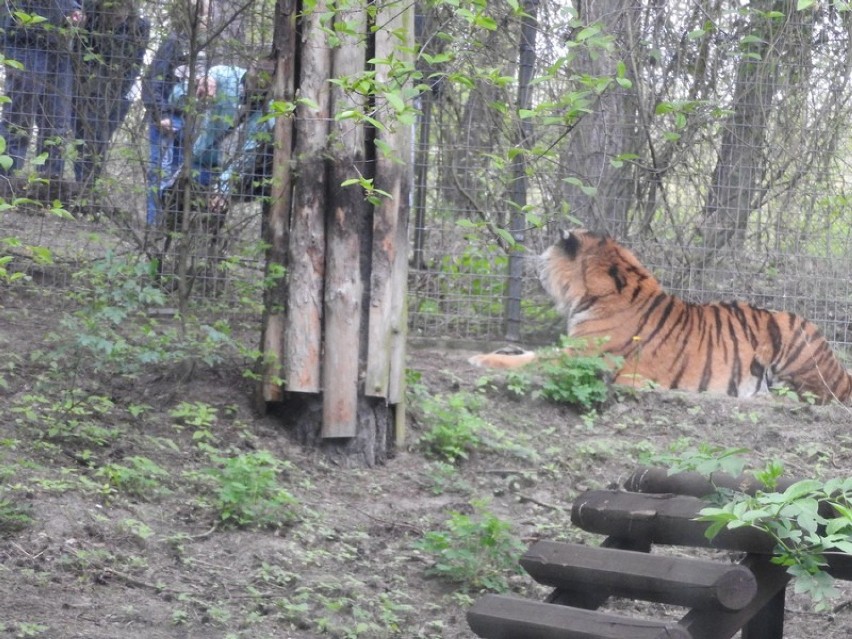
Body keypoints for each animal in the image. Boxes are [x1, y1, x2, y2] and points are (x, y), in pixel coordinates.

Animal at [472, 228, 852, 402]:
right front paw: (501, 350)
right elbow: (529, 352)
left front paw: (480, 358)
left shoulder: (581, 358)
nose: (532, 263)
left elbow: (531, 360)